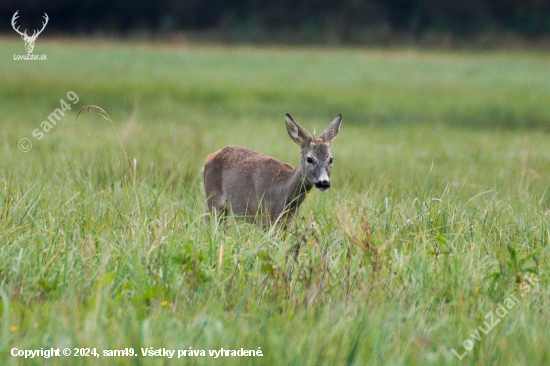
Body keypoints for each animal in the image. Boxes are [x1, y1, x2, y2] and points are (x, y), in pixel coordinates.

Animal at [204, 113, 340, 227]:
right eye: (309, 159)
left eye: (331, 159)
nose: (324, 183)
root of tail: (209, 158)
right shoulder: (263, 216)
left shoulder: (288, 222)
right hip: (213, 199)